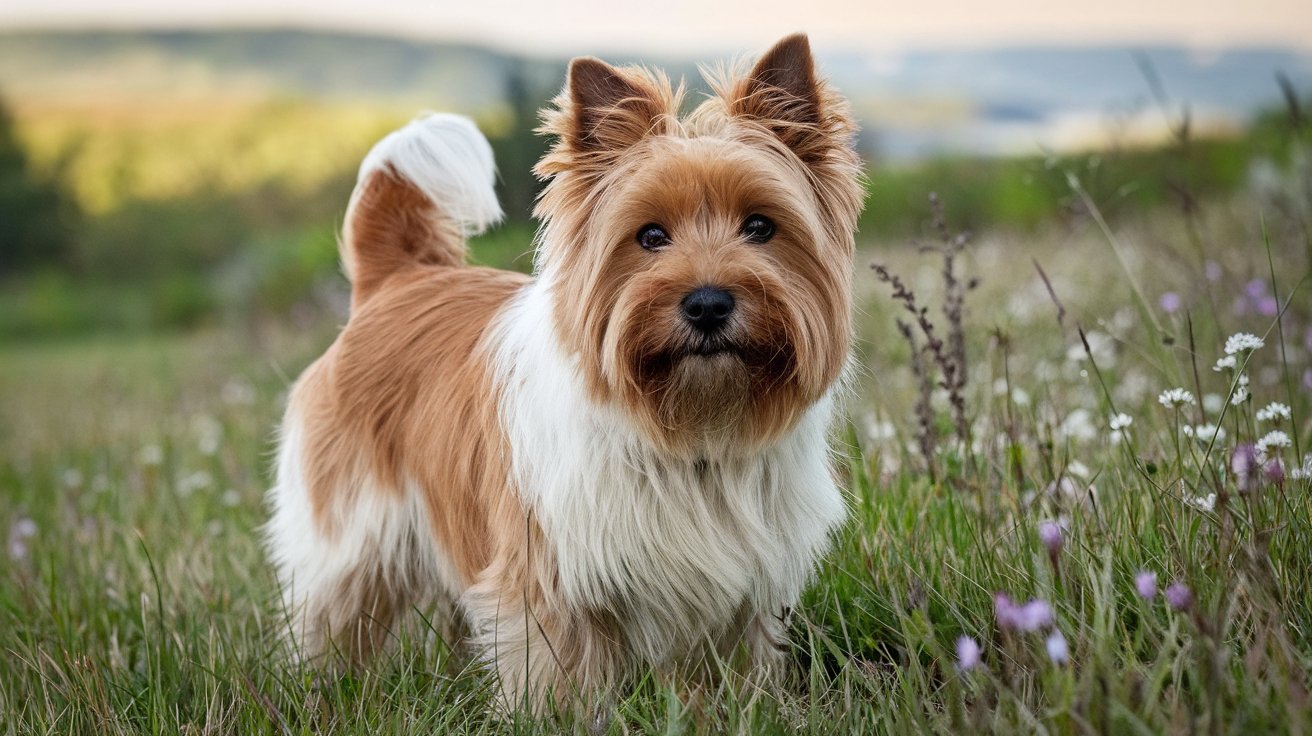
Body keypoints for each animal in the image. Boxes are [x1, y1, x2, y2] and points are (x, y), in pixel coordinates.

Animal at [263, 31, 860, 708]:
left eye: (760, 226)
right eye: (650, 235)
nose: (708, 304)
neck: (691, 430)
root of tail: (399, 280)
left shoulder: (739, 591)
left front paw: (734, 709)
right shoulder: (550, 580)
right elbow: (561, 677)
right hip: (350, 538)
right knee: (330, 616)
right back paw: (320, 691)